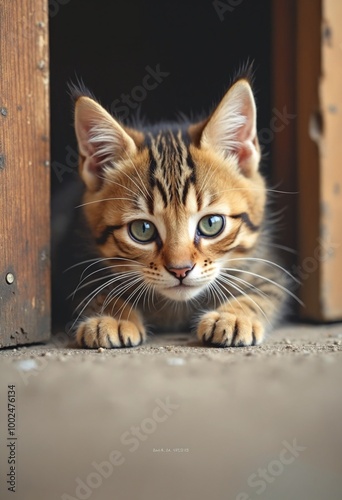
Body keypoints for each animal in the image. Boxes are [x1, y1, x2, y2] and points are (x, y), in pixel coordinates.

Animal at [68, 70, 292, 350]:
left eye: (211, 224)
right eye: (142, 229)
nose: (180, 270)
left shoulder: (268, 266)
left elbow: (263, 292)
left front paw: (234, 315)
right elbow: (95, 289)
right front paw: (112, 316)